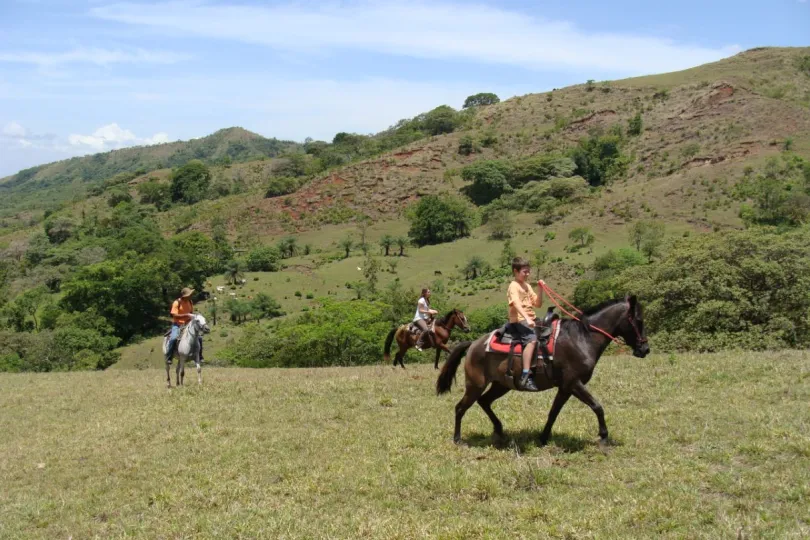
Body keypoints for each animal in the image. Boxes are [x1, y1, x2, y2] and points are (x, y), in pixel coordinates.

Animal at [432, 298, 648, 446]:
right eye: (638, 320)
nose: (645, 349)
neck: (582, 338)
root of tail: (473, 344)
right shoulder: (574, 383)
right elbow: (597, 406)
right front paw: (603, 435)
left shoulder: (565, 388)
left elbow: (553, 412)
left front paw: (543, 437)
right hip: (475, 385)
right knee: (460, 408)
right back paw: (458, 439)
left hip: (501, 385)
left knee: (484, 402)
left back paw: (500, 431)